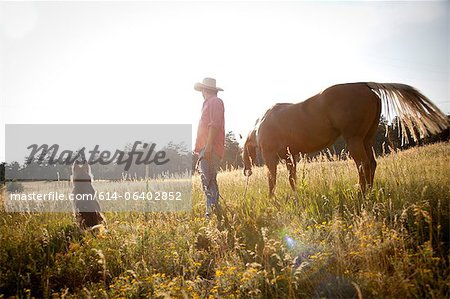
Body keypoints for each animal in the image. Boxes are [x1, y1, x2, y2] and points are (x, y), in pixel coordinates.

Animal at [244, 83, 448, 198]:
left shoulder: (271, 156)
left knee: (363, 164)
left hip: (354, 139)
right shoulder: (290, 156)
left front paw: (272, 199)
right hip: (366, 138)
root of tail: (365, 85)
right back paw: (369, 191)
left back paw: (361, 193)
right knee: (371, 163)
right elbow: (291, 177)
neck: (260, 124)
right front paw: (295, 195)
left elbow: (272, 179)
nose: (247, 171)